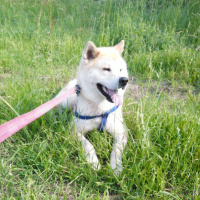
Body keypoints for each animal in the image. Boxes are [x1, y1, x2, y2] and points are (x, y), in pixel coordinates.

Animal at [55, 40, 129, 175]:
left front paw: (116, 166)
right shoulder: (74, 130)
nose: (124, 80)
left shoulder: (121, 132)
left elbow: (116, 150)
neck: (100, 109)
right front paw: (93, 162)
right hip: (66, 101)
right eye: (106, 69)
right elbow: (88, 145)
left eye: (121, 69)